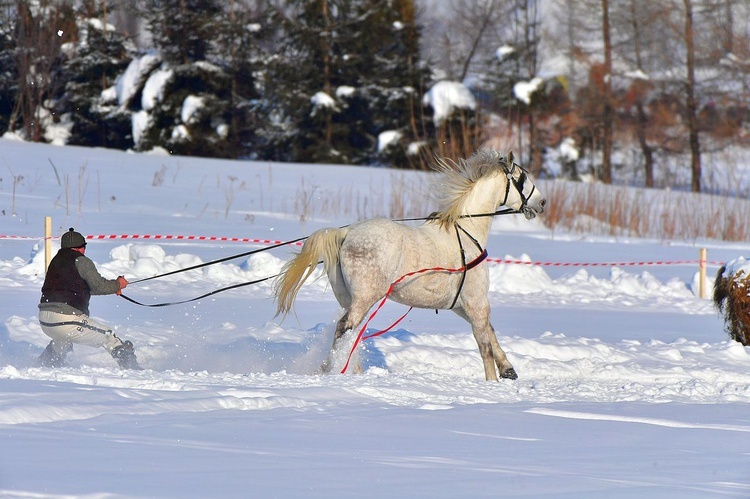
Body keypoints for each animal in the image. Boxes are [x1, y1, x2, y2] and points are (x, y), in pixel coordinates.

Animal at [276, 150, 548, 380]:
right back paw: (334, 369)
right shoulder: (476, 301)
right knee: (345, 328)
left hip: (351, 299)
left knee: (351, 332)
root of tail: (346, 233)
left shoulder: (461, 305)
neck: (468, 230)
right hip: (365, 297)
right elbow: (484, 344)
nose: (542, 203)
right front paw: (492, 381)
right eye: (522, 177)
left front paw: (508, 370)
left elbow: (490, 333)